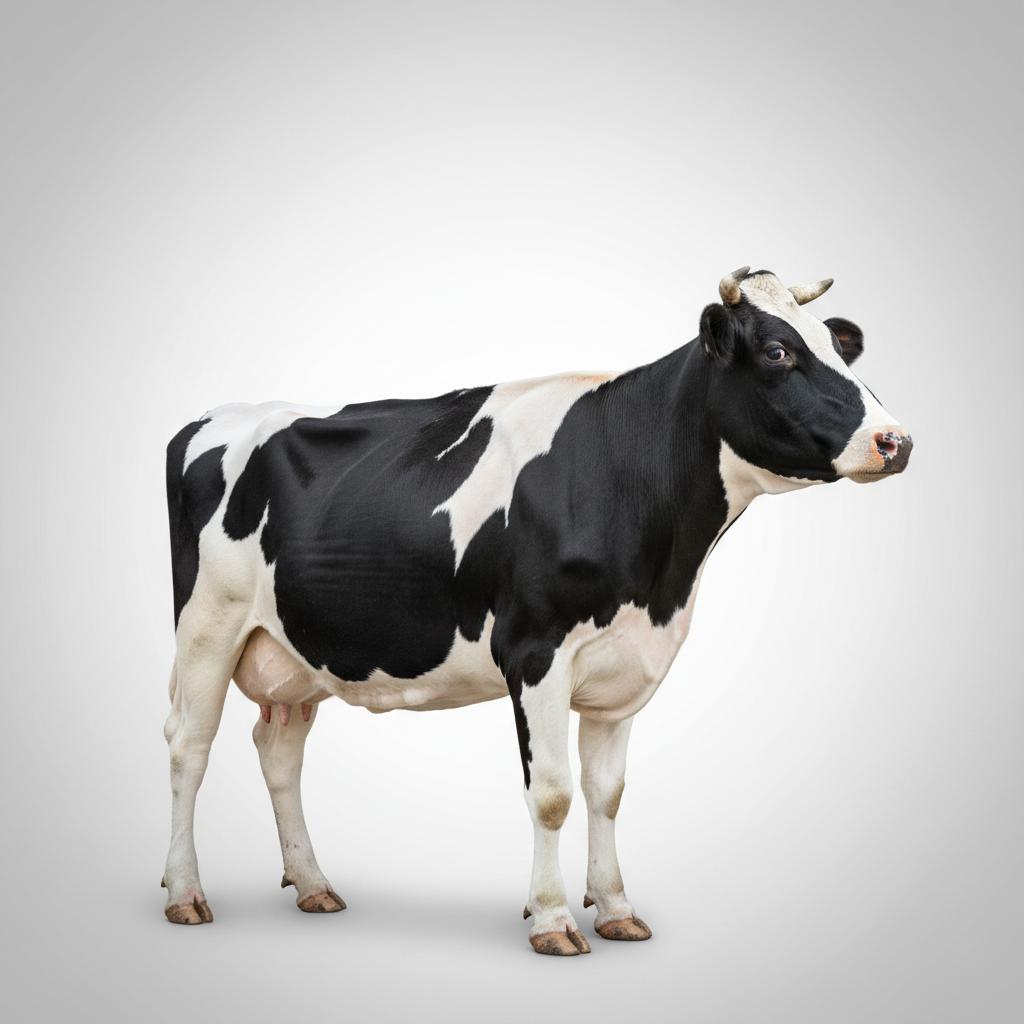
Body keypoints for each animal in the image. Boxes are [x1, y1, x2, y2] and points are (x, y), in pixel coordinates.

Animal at [162, 267, 913, 955]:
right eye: (779, 352)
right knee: (188, 749)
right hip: (207, 628)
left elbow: (607, 793)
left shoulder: (626, 664)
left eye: (841, 349)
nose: (896, 441)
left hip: (294, 651)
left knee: (279, 753)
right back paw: (185, 893)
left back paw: (314, 885)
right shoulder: (535, 652)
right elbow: (552, 793)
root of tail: (215, 415)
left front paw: (615, 909)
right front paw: (552, 919)